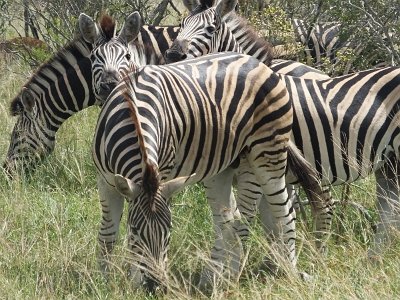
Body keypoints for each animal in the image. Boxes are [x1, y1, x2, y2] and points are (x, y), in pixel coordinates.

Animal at [166, 0, 400, 260]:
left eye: (211, 29)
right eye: (181, 25)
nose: (172, 55)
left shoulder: (258, 169)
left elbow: (251, 223)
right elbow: (269, 224)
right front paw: (274, 263)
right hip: (387, 163)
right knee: (387, 212)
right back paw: (371, 259)